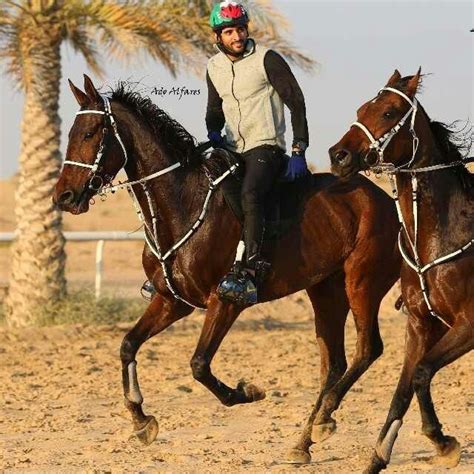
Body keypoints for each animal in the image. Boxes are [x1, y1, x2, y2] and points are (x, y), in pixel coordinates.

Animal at [52, 75, 400, 462]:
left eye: (91, 132)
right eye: (71, 133)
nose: (64, 196)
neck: (183, 202)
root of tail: (387, 201)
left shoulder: (226, 301)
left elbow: (199, 364)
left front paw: (247, 391)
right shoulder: (172, 301)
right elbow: (128, 345)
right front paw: (141, 421)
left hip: (362, 284)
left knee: (367, 348)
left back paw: (323, 422)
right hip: (325, 290)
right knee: (334, 363)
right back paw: (305, 440)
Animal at [330, 68, 474, 472]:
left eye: (390, 112)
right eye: (361, 109)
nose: (338, 155)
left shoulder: (468, 324)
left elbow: (422, 374)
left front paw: (443, 441)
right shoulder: (419, 325)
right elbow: (403, 391)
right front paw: (378, 456)